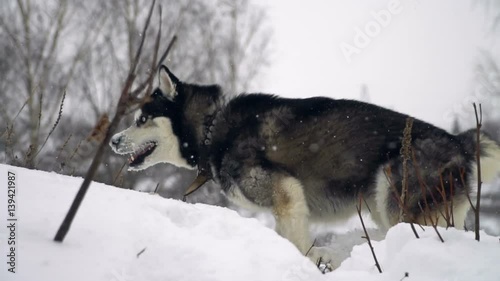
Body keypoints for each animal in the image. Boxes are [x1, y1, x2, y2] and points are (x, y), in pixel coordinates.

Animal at [111, 66, 500, 264]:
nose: (114, 140)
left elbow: (296, 241)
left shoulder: (286, 194)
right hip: (386, 202)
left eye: (142, 119)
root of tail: (459, 142)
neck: (211, 129)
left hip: (396, 197)